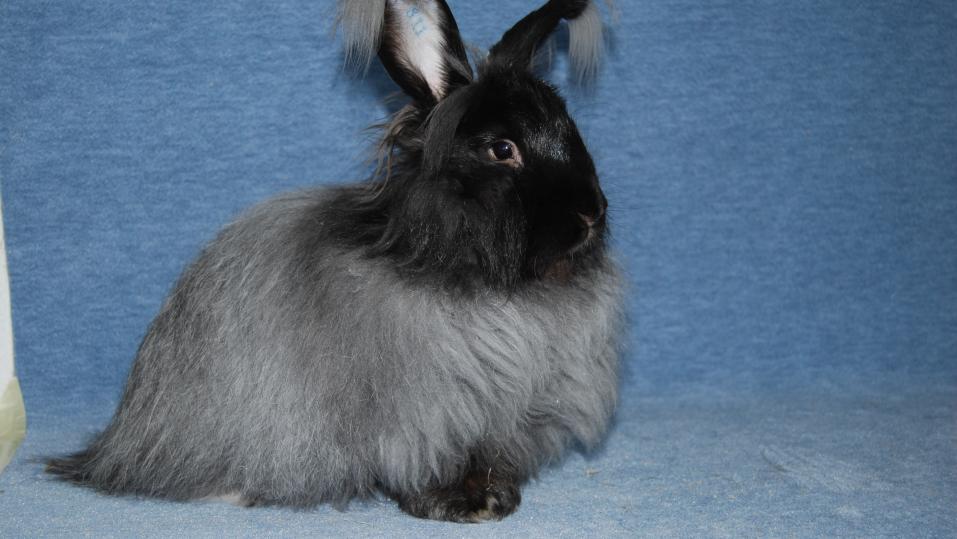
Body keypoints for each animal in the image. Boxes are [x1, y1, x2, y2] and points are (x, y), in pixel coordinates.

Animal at [47, 0, 624, 523]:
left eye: (571, 130)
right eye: (502, 149)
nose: (592, 212)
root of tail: (114, 449)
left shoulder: (503, 415)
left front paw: (496, 498)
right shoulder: (424, 416)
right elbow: (426, 464)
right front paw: (458, 506)